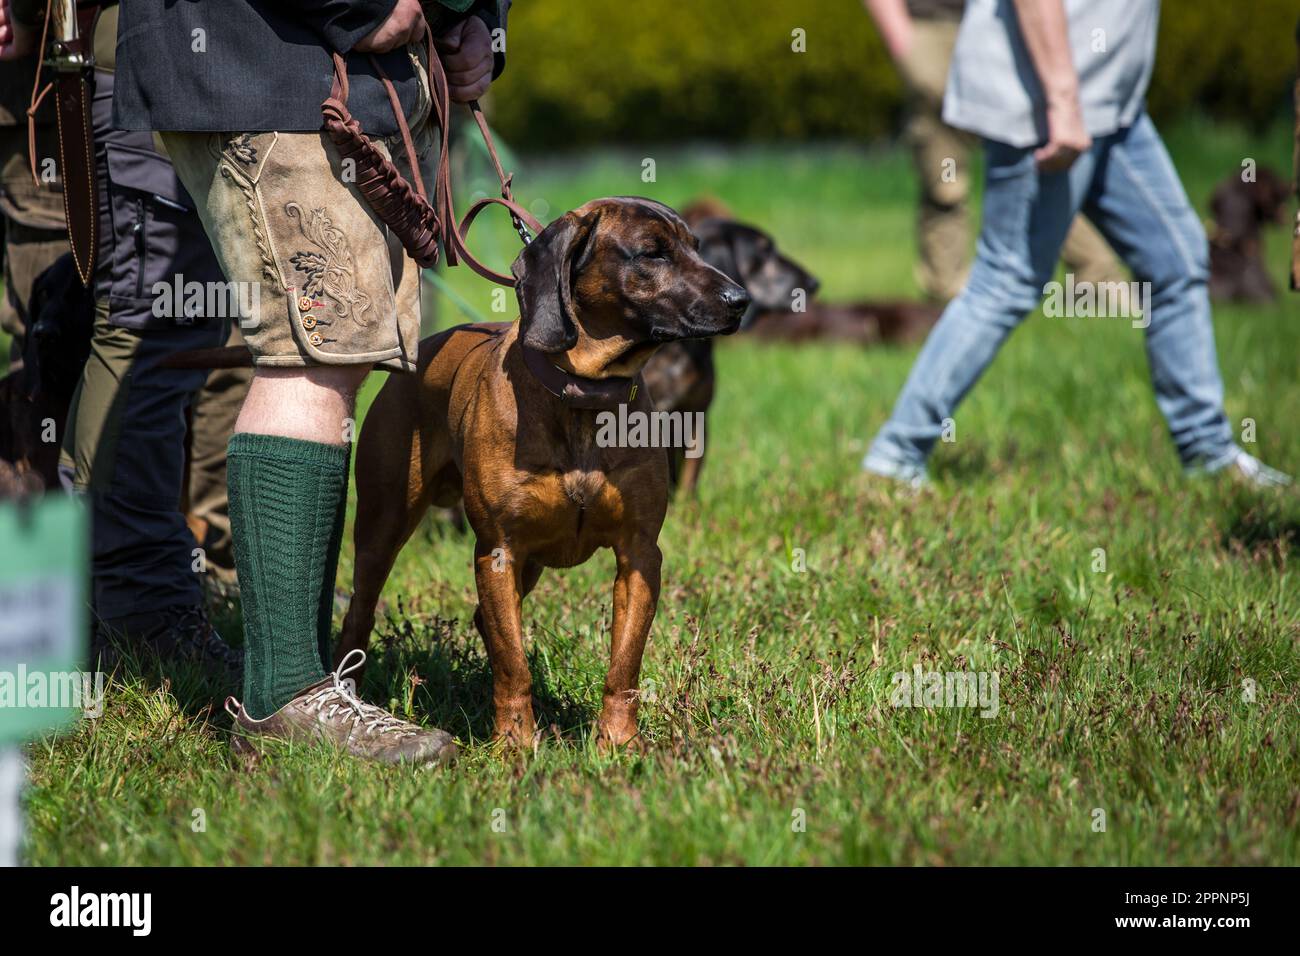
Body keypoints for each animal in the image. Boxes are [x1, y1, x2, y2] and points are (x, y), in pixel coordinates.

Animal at [335, 197, 748, 749]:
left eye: (697, 248)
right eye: (652, 253)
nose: (740, 299)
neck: (581, 395)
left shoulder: (639, 554)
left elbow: (624, 664)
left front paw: (618, 743)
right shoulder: (499, 552)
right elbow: (515, 666)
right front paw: (514, 747)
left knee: (484, 621)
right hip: (384, 524)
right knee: (361, 611)